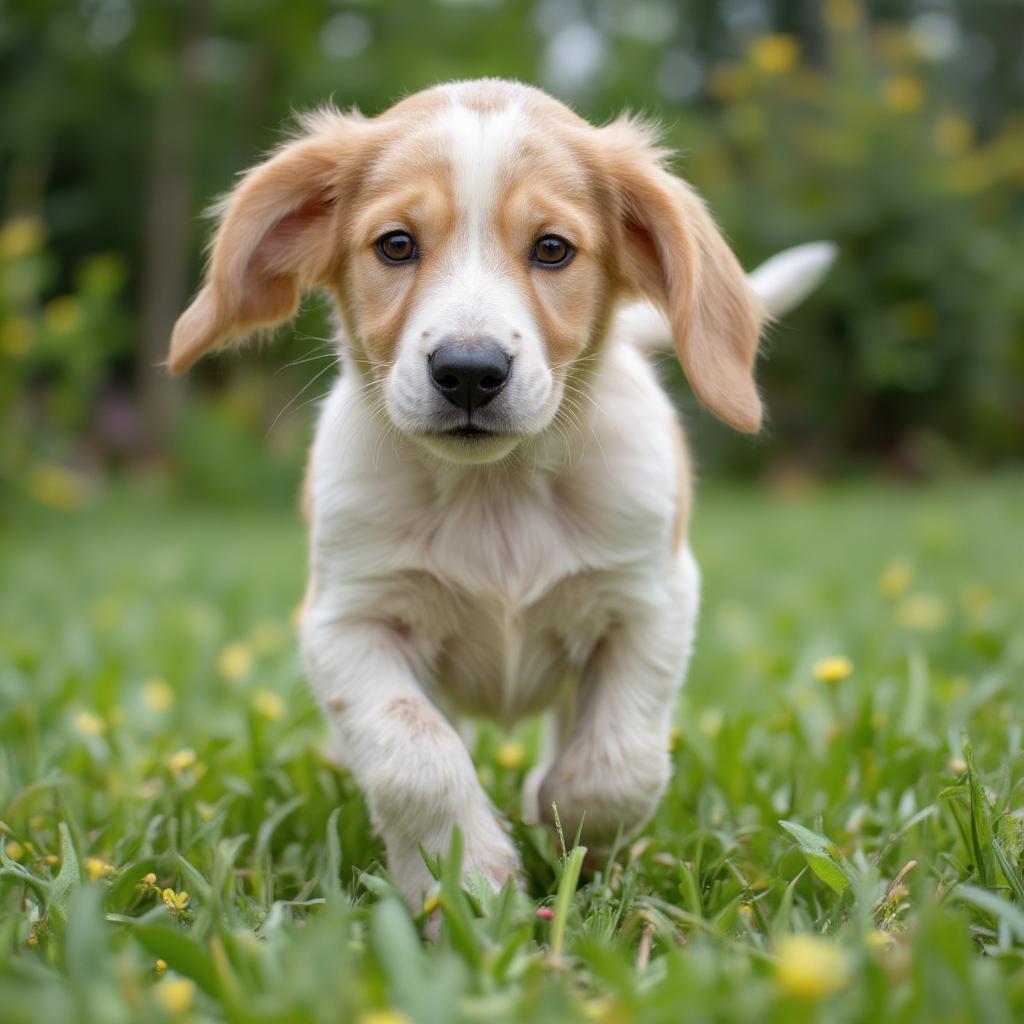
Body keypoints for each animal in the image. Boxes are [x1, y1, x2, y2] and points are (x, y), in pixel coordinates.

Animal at [167, 79, 835, 913]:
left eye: (552, 249)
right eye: (396, 245)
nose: (468, 371)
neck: (496, 489)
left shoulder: (652, 602)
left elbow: (617, 766)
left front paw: (560, 827)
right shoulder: (346, 621)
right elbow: (415, 758)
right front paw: (470, 876)